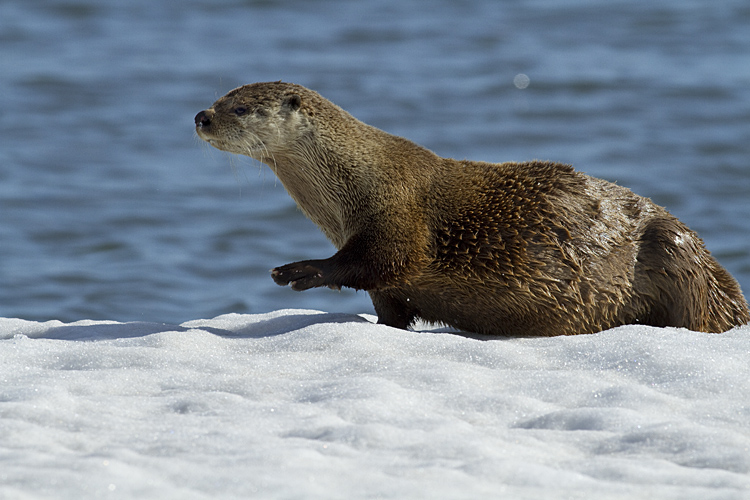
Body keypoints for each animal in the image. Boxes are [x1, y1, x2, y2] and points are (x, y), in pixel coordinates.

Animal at [195, 81, 750, 336]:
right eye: (219, 96)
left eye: (238, 107)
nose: (201, 115)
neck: (358, 179)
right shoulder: (383, 274)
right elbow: (387, 299)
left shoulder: (398, 215)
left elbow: (385, 260)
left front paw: (301, 270)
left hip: (677, 259)